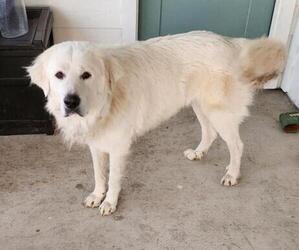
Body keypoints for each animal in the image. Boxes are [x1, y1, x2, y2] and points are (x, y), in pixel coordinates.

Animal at [27, 30, 286, 215]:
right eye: (59, 75)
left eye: (86, 75)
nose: (71, 102)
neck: (105, 100)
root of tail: (232, 44)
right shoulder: (97, 144)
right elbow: (99, 174)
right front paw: (97, 195)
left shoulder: (118, 147)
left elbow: (113, 178)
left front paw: (109, 202)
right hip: (199, 106)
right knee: (209, 133)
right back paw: (198, 153)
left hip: (218, 113)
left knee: (237, 145)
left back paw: (232, 174)